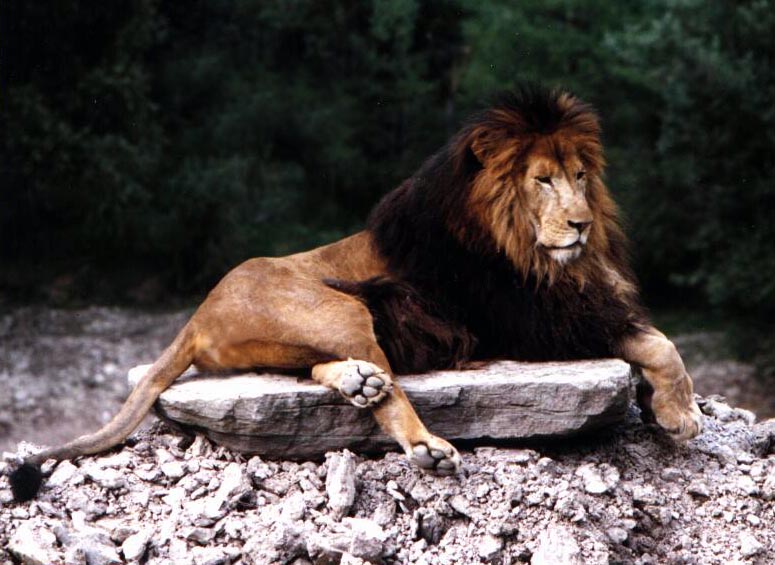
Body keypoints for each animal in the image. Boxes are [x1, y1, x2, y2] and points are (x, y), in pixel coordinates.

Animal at [9, 85, 702, 502]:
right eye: (543, 180)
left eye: (581, 176)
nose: (581, 224)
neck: (537, 256)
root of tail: (198, 313)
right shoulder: (533, 320)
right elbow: (658, 342)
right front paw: (681, 415)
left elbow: (659, 339)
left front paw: (671, 409)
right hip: (339, 307)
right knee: (391, 395)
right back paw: (425, 445)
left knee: (324, 370)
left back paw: (357, 381)